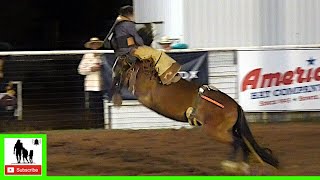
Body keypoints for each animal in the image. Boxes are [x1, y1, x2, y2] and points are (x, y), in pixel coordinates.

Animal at [111, 55, 278, 174]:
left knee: (237, 142)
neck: (147, 73)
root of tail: (236, 106)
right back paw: (243, 167)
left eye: (119, 65)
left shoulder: (143, 94)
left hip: (214, 130)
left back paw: (230, 165)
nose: (114, 69)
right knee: (243, 144)